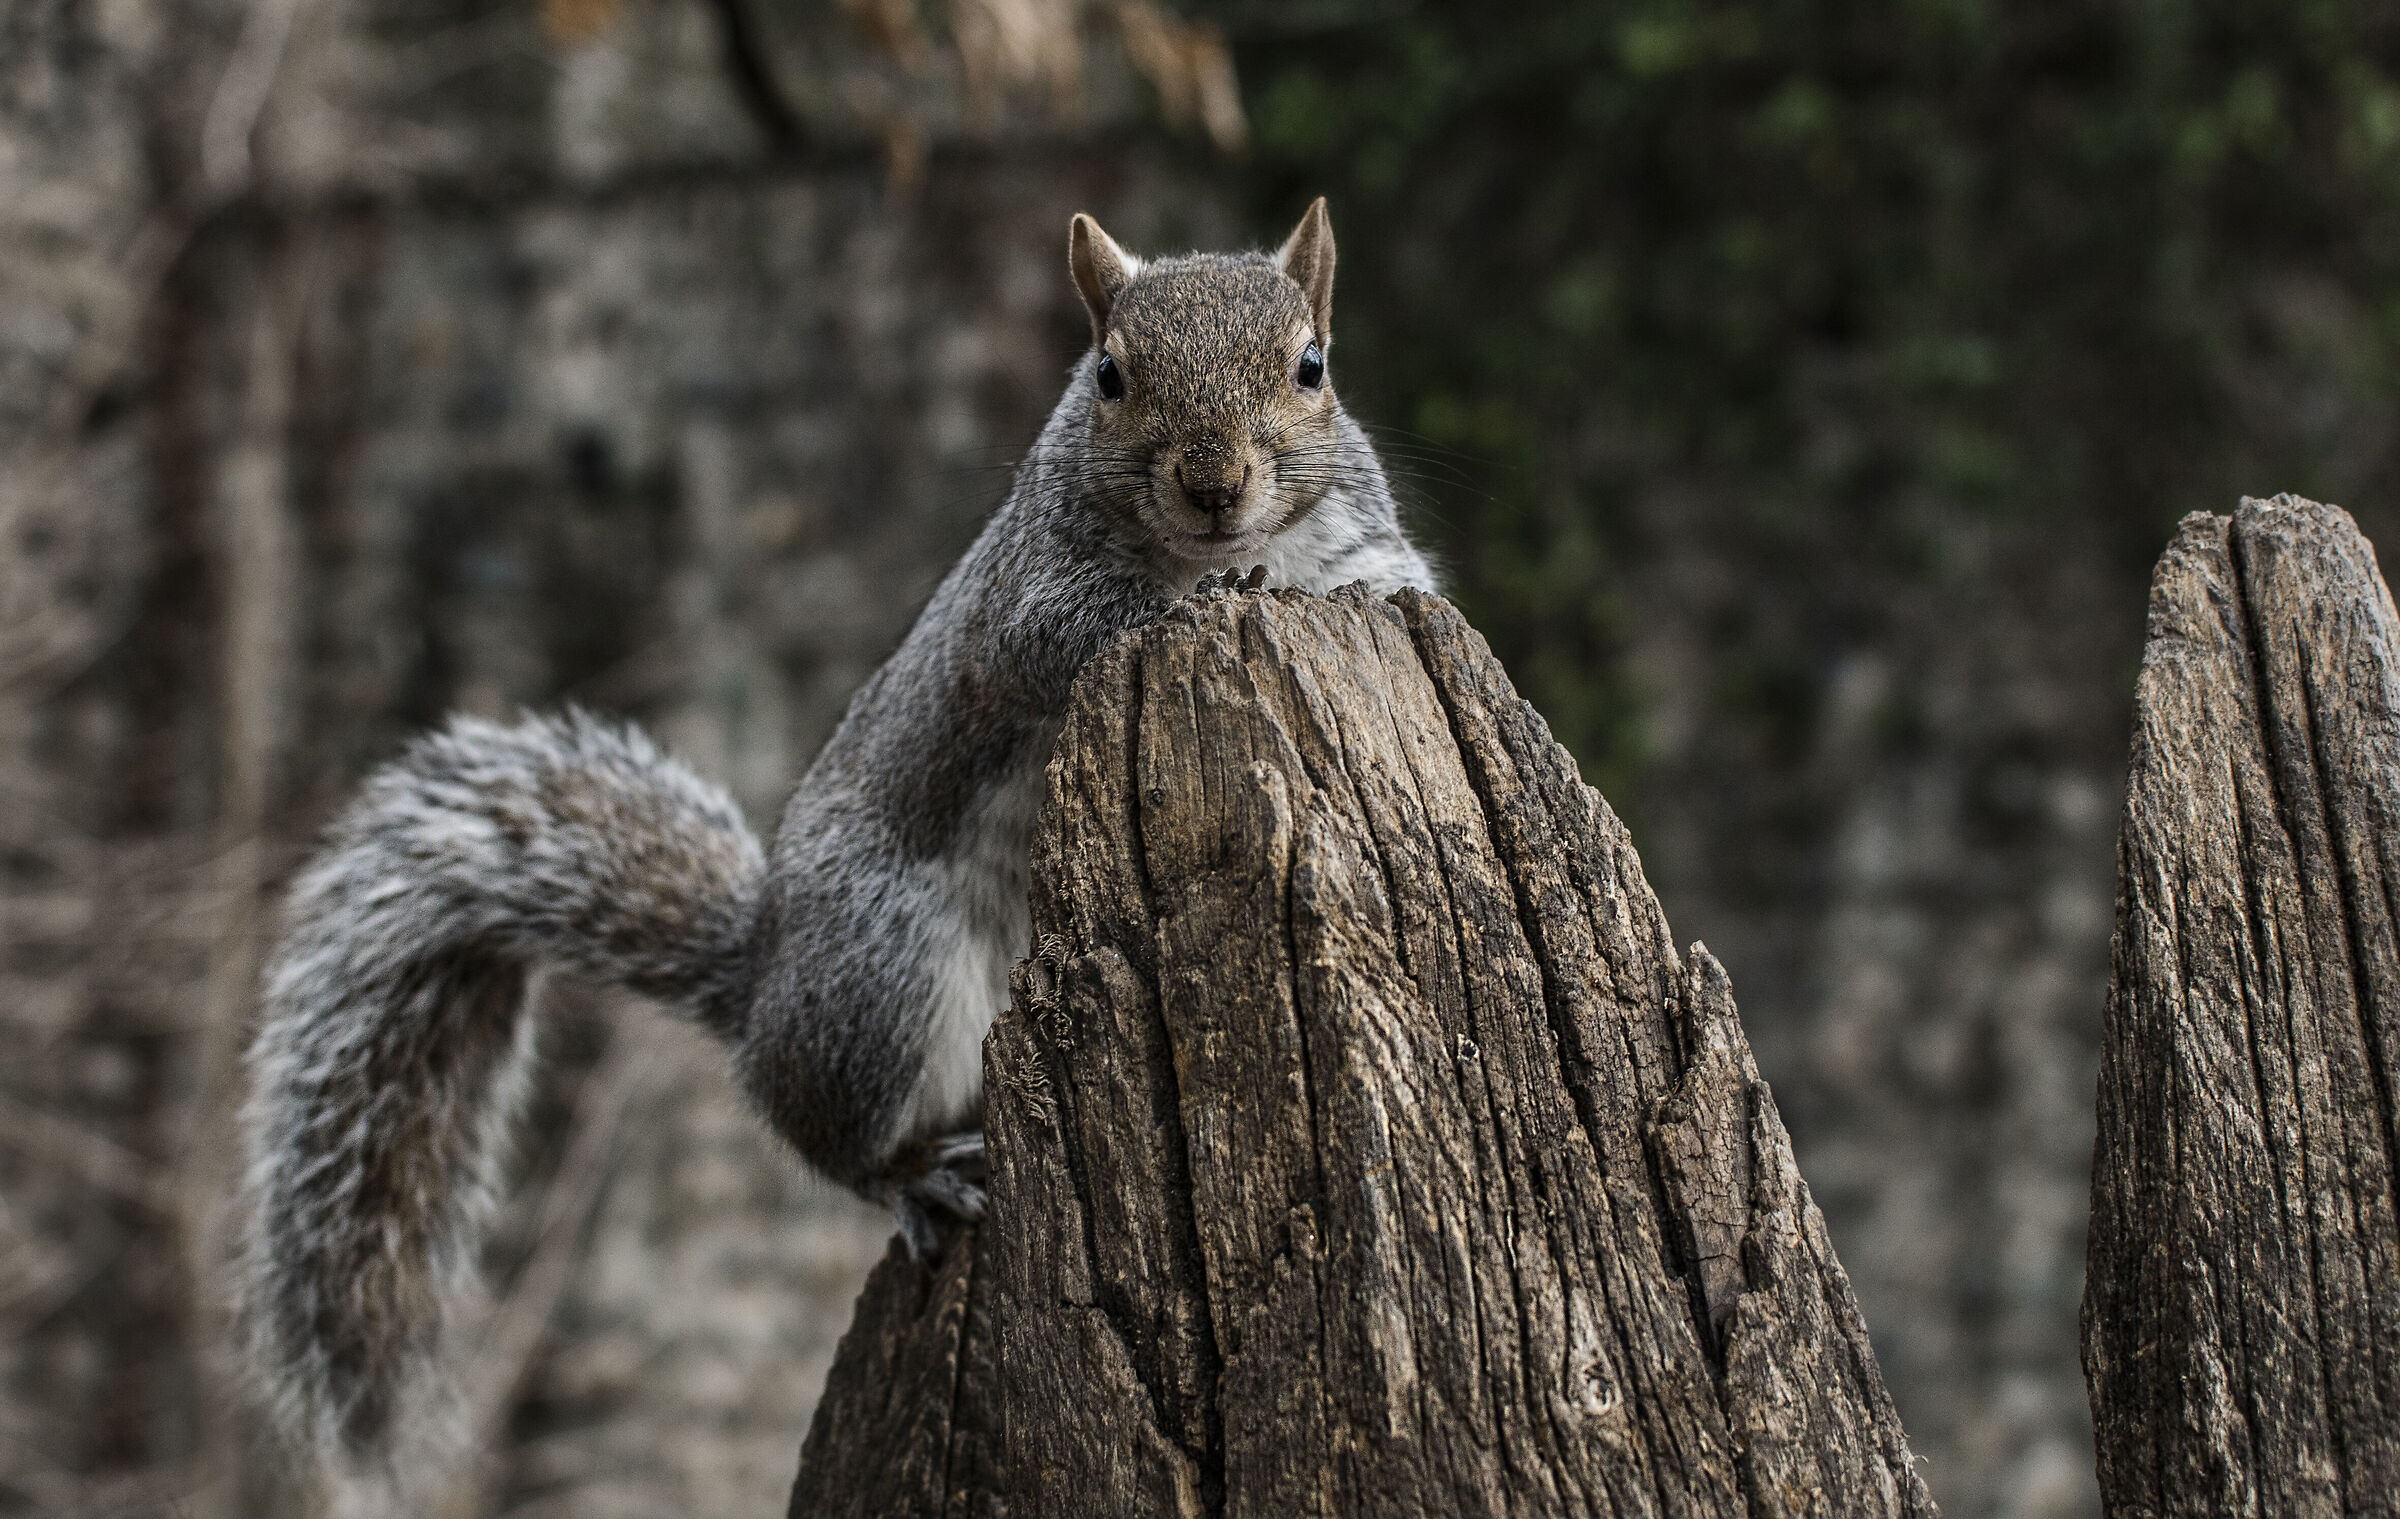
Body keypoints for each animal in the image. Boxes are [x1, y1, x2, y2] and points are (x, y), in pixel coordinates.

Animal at [233, 198, 1434, 1512]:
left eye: (1312, 365)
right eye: (1111, 375)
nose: (1215, 486)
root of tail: (762, 978)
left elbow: (1387, 584)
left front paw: (1347, 594)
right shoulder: (1023, 602)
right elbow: (1077, 630)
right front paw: (1199, 599)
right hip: (882, 982)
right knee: (833, 1139)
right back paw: (914, 1174)